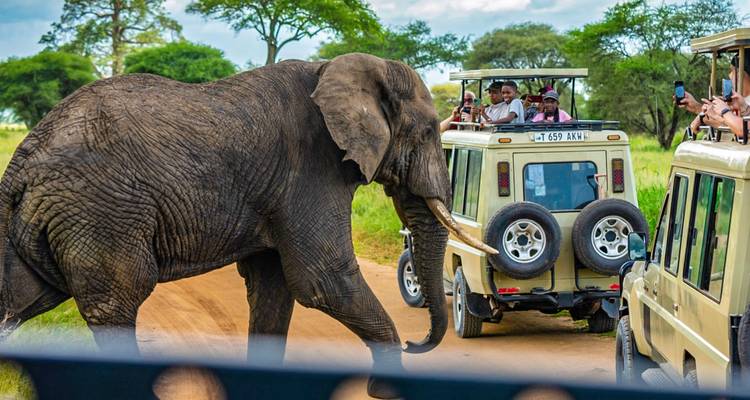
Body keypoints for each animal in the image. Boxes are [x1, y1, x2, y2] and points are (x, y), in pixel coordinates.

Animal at [0, 53, 496, 397]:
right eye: (429, 131)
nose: (417, 342)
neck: (337, 69)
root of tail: (22, 160)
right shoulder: (310, 166)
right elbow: (322, 280)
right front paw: (388, 390)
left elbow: (273, 286)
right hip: (102, 213)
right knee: (117, 303)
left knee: (21, 301)